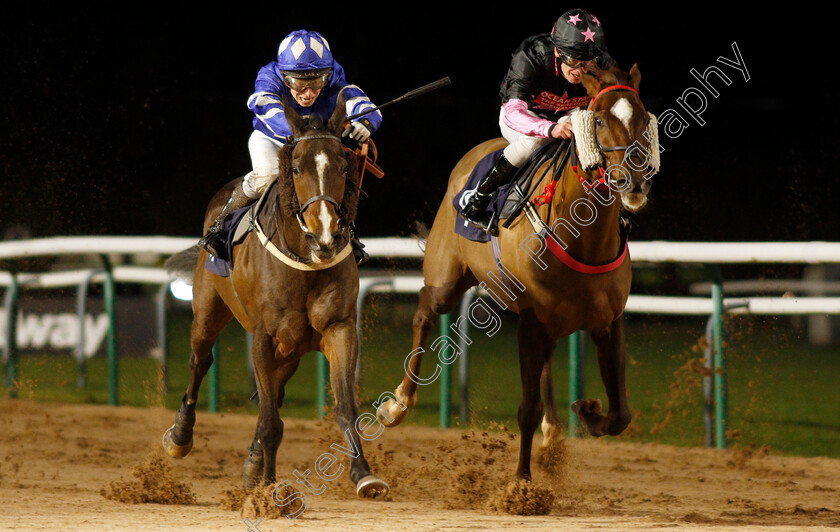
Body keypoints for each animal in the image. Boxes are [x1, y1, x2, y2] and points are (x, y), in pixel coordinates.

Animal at [161, 92, 390, 498]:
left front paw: (364, 474)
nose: (326, 236)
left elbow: (345, 407)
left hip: (291, 349)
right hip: (208, 309)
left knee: (276, 394)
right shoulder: (264, 338)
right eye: (295, 168)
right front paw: (268, 490)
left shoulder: (339, 328)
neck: (305, 260)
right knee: (200, 361)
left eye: (344, 166)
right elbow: (269, 421)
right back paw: (180, 436)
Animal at [378, 64, 660, 480]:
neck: (583, 239)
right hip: (446, 277)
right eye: (598, 119)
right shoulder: (530, 321)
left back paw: (554, 431)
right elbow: (526, 409)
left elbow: (620, 414)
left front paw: (587, 410)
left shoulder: (607, 322)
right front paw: (522, 483)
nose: (635, 181)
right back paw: (398, 403)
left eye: (641, 118)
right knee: (424, 313)